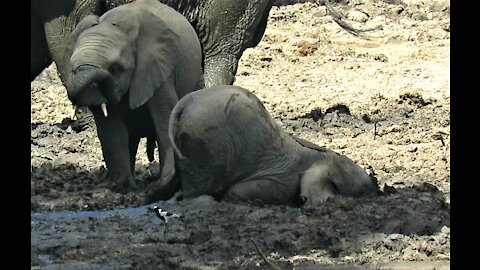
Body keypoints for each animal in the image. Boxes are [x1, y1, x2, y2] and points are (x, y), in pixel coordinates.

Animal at [63, 0, 202, 192]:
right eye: (73, 69)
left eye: (116, 68)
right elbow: (111, 129)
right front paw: (122, 187)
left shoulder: (159, 69)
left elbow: (165, 119)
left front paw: (165, 183)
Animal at [164, 85, 378, 208]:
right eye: (361, 191)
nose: (376, 186)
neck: (320, 155)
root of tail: (184, 103)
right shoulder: (281, 179)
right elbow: (239, 192)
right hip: (209, 142)